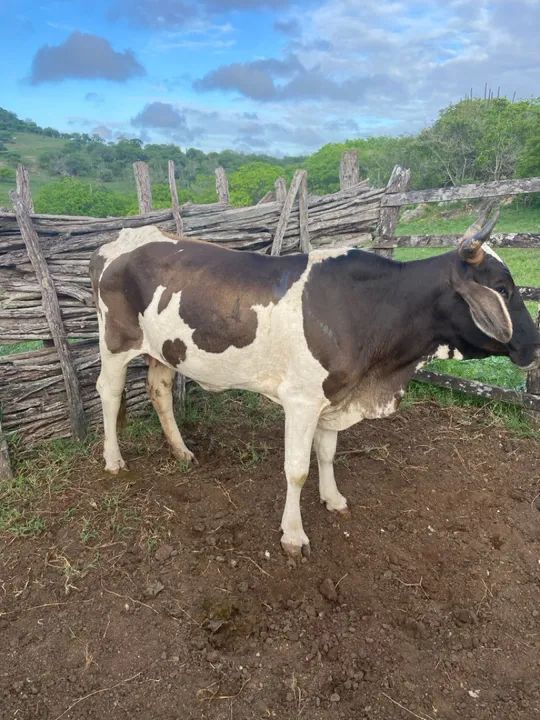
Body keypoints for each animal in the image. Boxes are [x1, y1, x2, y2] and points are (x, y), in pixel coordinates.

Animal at [90, 204, 540, 557]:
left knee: (160, 391)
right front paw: (293, 535)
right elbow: (296, 469)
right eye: (502, 287)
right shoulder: (302, 400)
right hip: (115, 342)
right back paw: (113, 460)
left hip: (164, 348)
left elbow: (326, 454)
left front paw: (333, 498)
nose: (534, 344)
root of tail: (120, 239)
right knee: (108, 393)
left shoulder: (335, 395)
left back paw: (182, 450)